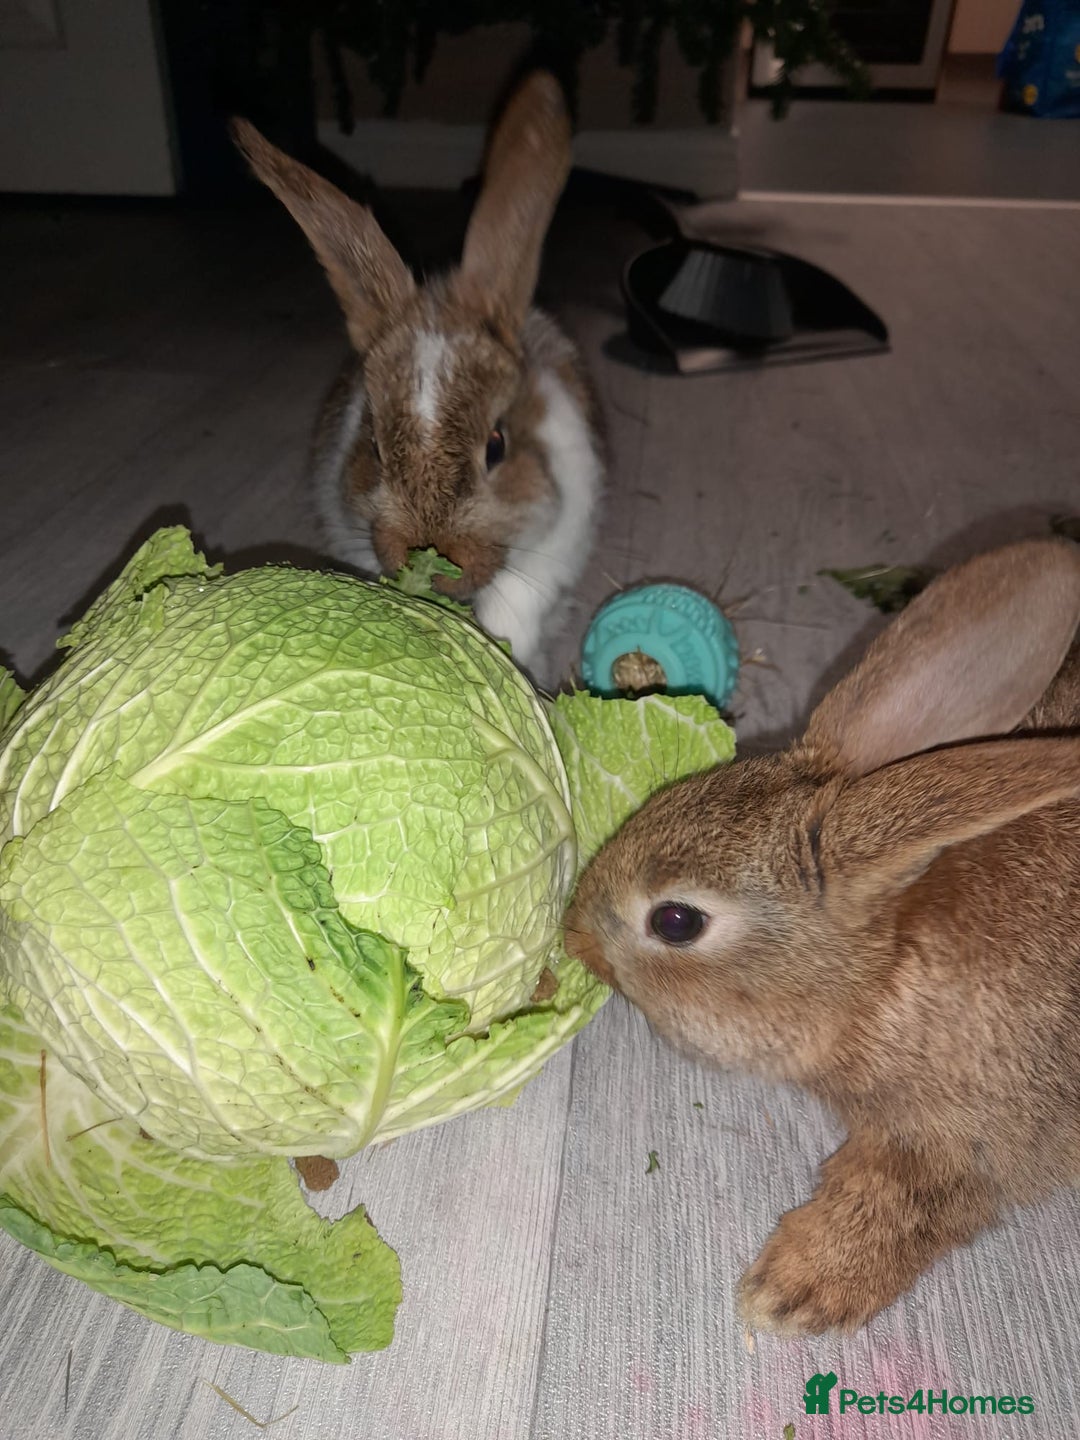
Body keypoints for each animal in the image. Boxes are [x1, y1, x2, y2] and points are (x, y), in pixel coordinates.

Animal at [564, 537, 1080, 1335]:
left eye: (676, 921)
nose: (572, 936)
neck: (881, 973)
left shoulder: (975, 1142)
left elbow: (901, 1206)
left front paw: (789, 1292)